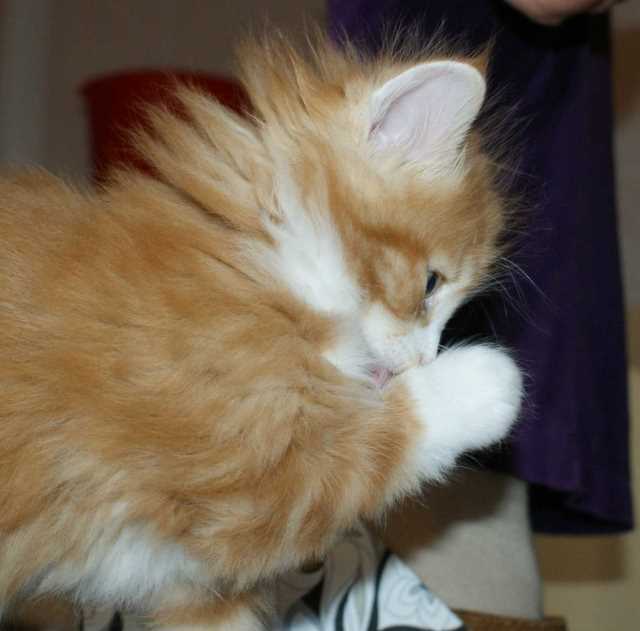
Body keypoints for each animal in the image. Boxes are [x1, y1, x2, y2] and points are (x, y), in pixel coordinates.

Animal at [0, 34, 522, 630]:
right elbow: (366, 446)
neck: (262, 258)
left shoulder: (190, 583)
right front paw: (488, 381)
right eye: (432, 284)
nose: (423, 359)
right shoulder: (237, 477)